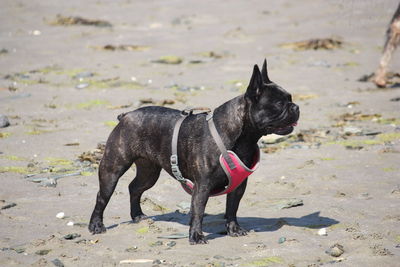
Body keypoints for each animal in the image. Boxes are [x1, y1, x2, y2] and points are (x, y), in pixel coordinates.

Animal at [88, 60, 300, 245]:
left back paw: (137, 215)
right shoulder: (202, 186)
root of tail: (126, 116)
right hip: (112, 169)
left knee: (135, 188)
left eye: (290, 99)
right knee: (102, 196)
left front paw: (234, 229)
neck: (242, 137)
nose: (296, 107)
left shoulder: (239, 185)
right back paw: (96, 225)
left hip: (149, 172)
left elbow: (232, 207)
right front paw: (196, 236)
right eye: (279, 104)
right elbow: (198, 210)